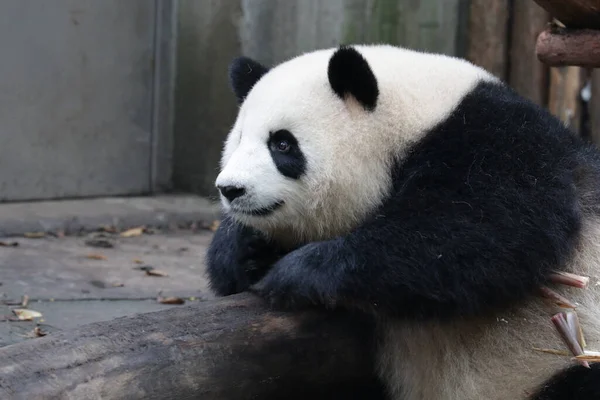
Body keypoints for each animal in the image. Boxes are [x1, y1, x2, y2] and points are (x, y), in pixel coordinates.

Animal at [204, 42, 600, 398]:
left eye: (282, 144)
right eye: (238, 140)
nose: (231, 189)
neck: (412, 119)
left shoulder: (499, 139)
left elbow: (485, 228)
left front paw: (295, 273)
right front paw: (244, 251)